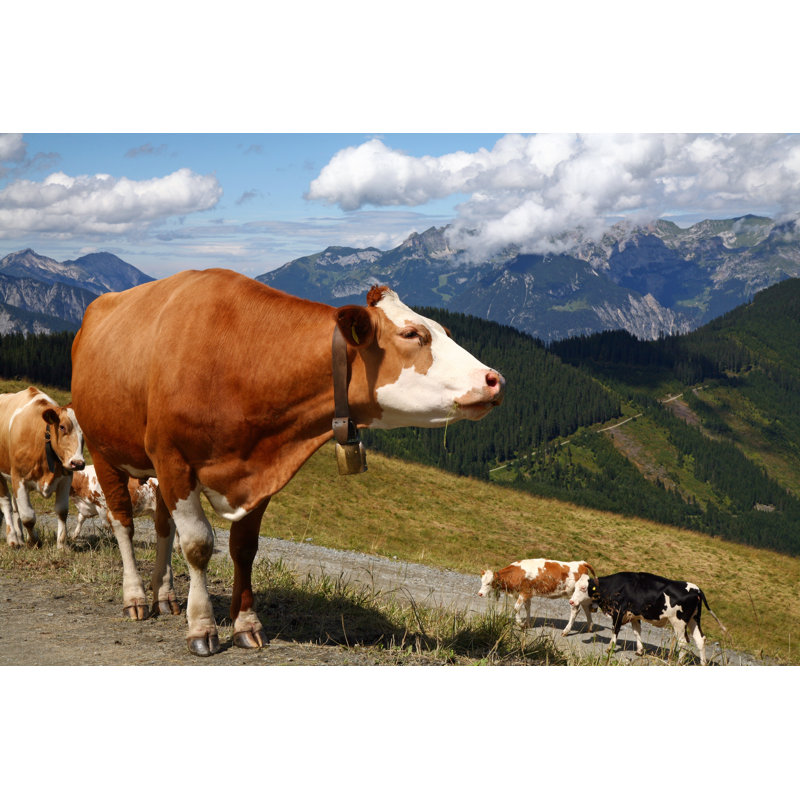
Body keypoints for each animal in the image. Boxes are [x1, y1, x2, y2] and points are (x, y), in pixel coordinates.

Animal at [0, 386, 85, 548]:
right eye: (62, 427)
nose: (78, 463)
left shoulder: (66, 478)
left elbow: (62, 511)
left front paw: (62, 545)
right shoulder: (19, 478)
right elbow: (28, 516)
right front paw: (34, 541)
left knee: (15, 506)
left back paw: (20, 537)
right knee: (6, 504)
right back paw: (13, 539)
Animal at [70, 269, 505, 656]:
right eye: (413, 334)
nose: (495, 379)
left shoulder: (259, 471)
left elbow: (244, 548)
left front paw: (246, 625)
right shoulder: (174, 458)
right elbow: (197, 545)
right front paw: (203, 628)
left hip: (155, 471)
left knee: (162, 527)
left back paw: (165, 596)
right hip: (106, 451)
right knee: (122, 522)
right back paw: (136, 598)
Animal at [569, 571, 727, 665]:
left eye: (583, 588)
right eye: (575, 587)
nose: (571, 601)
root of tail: (696, 589)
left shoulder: (619, 612)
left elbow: (615, 630)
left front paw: (609, 648)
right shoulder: (634, 614)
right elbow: (637, 632)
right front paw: (640, 650)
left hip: (679, 622)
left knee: (683, 642)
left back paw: (678, 662)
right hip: (694, 619)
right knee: (700, 640)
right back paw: (703, 663)